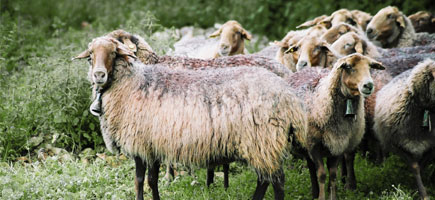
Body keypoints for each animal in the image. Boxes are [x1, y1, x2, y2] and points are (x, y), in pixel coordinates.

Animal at [73, 36, 308, 200]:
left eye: (113, 53)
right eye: (91, 55)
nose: (99, 75)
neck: (131, 83)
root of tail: (288, 95)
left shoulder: (140, 142)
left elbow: (140, 180)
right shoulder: (152, 143)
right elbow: (151, 180)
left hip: (263, 140)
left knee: (276, 180)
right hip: (260, 144)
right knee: (265, 179)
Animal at [288, 53, 386, 200]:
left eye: (369, 67)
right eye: (349, 67)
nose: (368, 85)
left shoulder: (339, 144)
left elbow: (333, 174)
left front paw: (333, 196)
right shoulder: (314, 145)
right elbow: (321, 174)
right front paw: (321, 197)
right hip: (304, 142)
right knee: (311, 166)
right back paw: (315, 192)